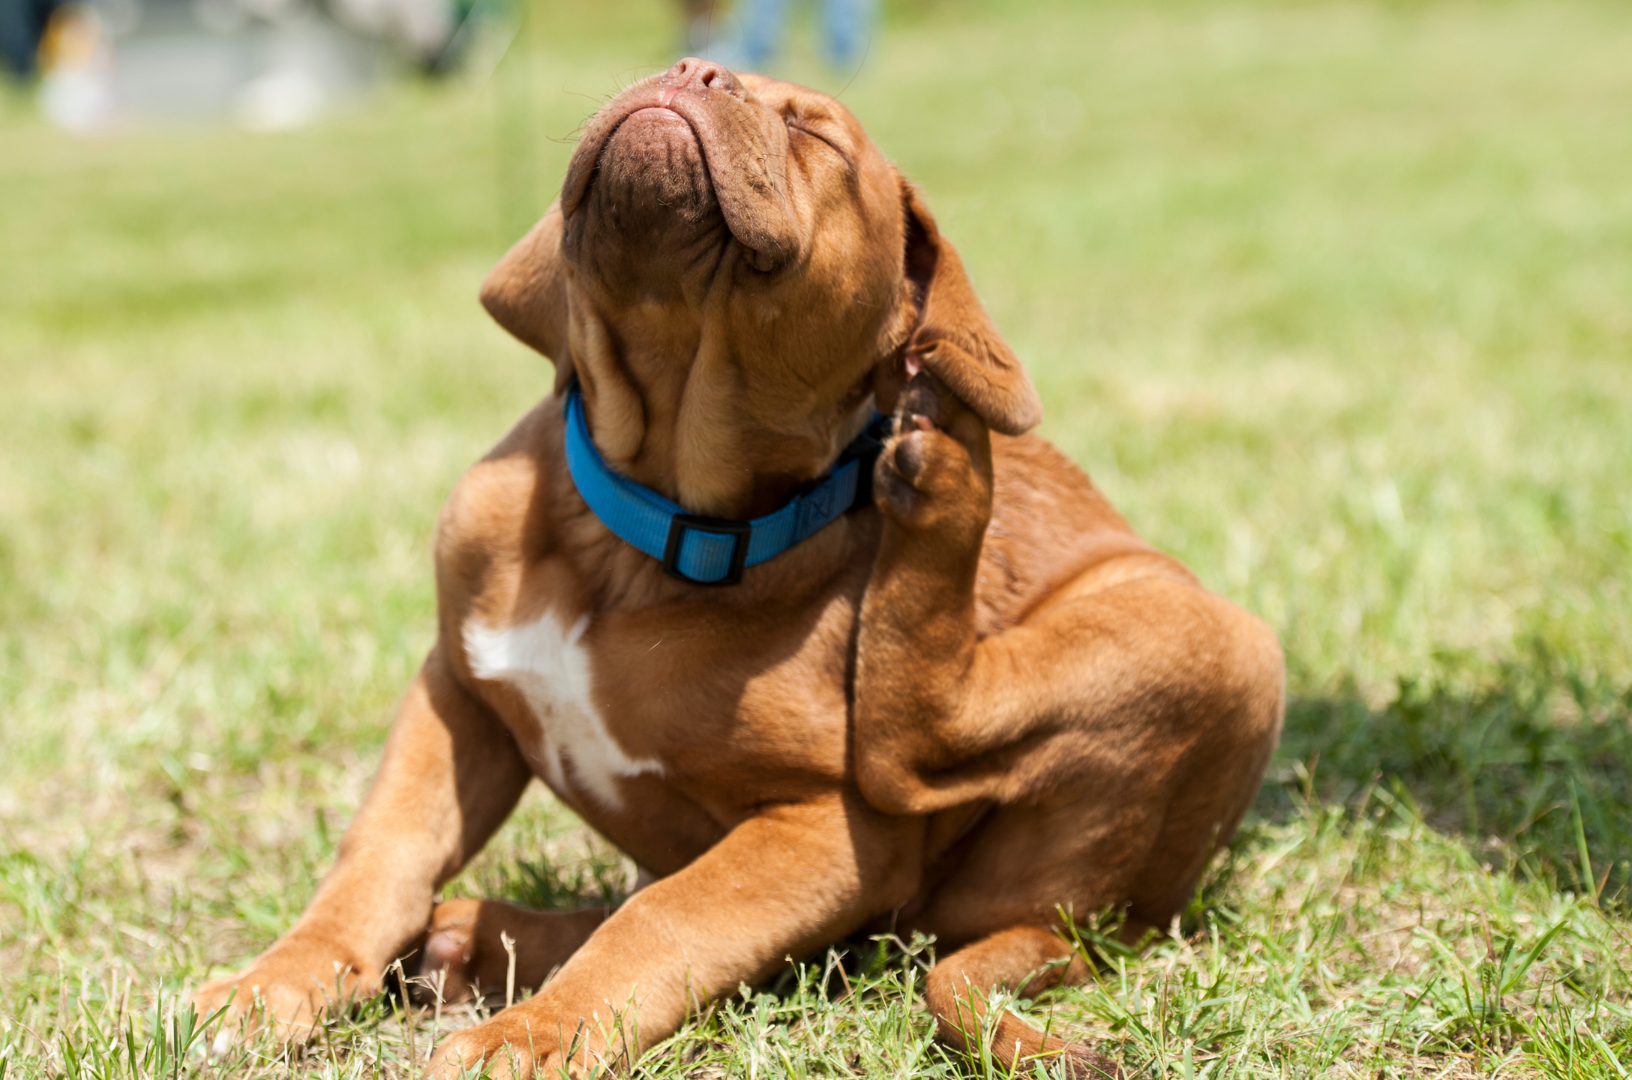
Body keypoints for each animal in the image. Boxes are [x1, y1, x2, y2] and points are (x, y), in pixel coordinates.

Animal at [194, 61, 1286, 1080]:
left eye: (819, 136)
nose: (692, 71)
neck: (643, 531)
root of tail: (1100, 923)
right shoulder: (457, 694)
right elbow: (379, 856)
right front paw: (273, 984)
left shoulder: (829, 830)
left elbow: (667, 922)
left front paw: (532, 1037)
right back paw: (473, 939)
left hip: (1215, 640)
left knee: (919, 743)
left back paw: (948, 476)